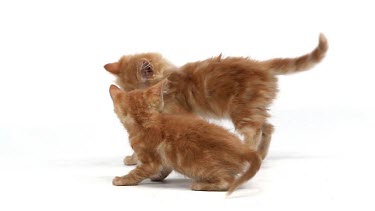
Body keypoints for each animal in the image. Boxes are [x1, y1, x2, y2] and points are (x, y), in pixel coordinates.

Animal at [105, 34, 328, 163]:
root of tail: (261, 65)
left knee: (254, 131)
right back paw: (261, 155)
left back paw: (248, 154)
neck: (171, 82)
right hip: (254, 108)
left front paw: (135, 158)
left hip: (241, 109)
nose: (132, 103)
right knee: (268, 127)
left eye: (138, 92)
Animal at [108, 80, 262, 195]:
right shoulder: (163, 159)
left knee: (228, 182)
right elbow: (165, 167)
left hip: (203, 166)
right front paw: (157, 176)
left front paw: (122, 180)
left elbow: (137, 172)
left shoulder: (150, 161)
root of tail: (244, 149)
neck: (146, 120)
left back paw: (200, 185)